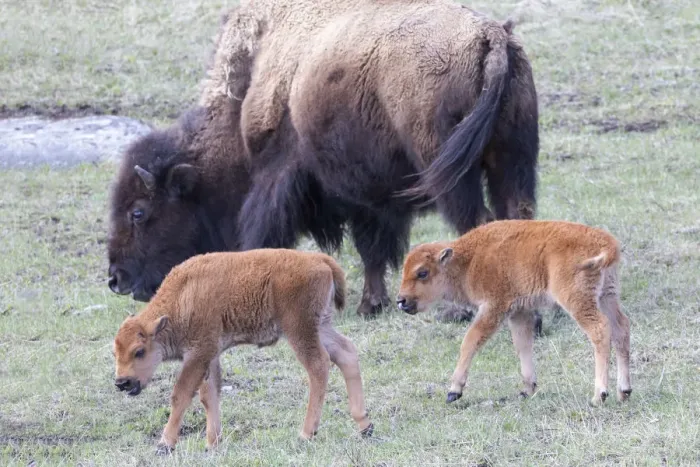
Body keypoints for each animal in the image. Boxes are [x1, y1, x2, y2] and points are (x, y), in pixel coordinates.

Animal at [107, 0, 539, 324]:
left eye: (138, 212)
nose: (116, 279)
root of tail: (491, 37)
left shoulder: (278, 179)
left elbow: (268, 235)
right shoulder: (371, 196)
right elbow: (372, 249)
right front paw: (370, 305)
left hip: (451, 174)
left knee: (476, 224)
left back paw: (460, 311)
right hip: (512, 161)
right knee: (516, 217)